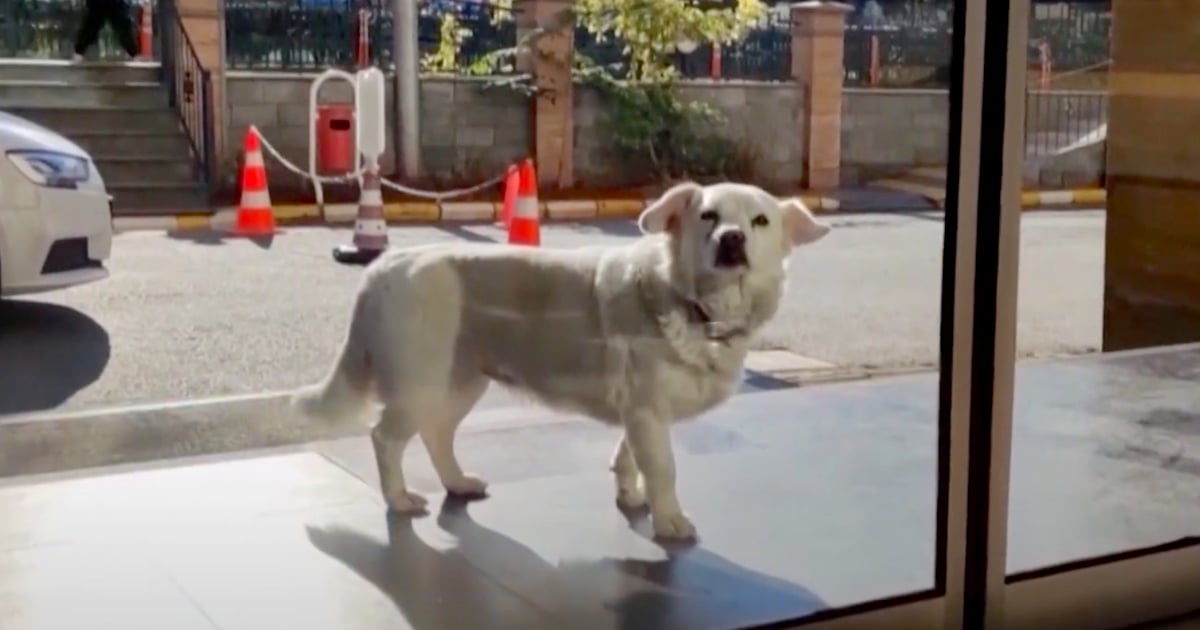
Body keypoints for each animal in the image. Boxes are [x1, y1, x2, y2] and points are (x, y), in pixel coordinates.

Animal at [293, 181, 831, 540]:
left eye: (759, 221)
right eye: (709, 217)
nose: (732, 240)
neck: (695, 303)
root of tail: (385, 265)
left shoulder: (641, 412)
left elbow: (628, 457)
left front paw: (630, 495)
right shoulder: (647, 411)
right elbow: (663, 468)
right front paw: (669, 519)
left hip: (462, 381)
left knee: (436, 433)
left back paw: (457, 482)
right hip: (418, 382)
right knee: (384, 438)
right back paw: (398, 498)